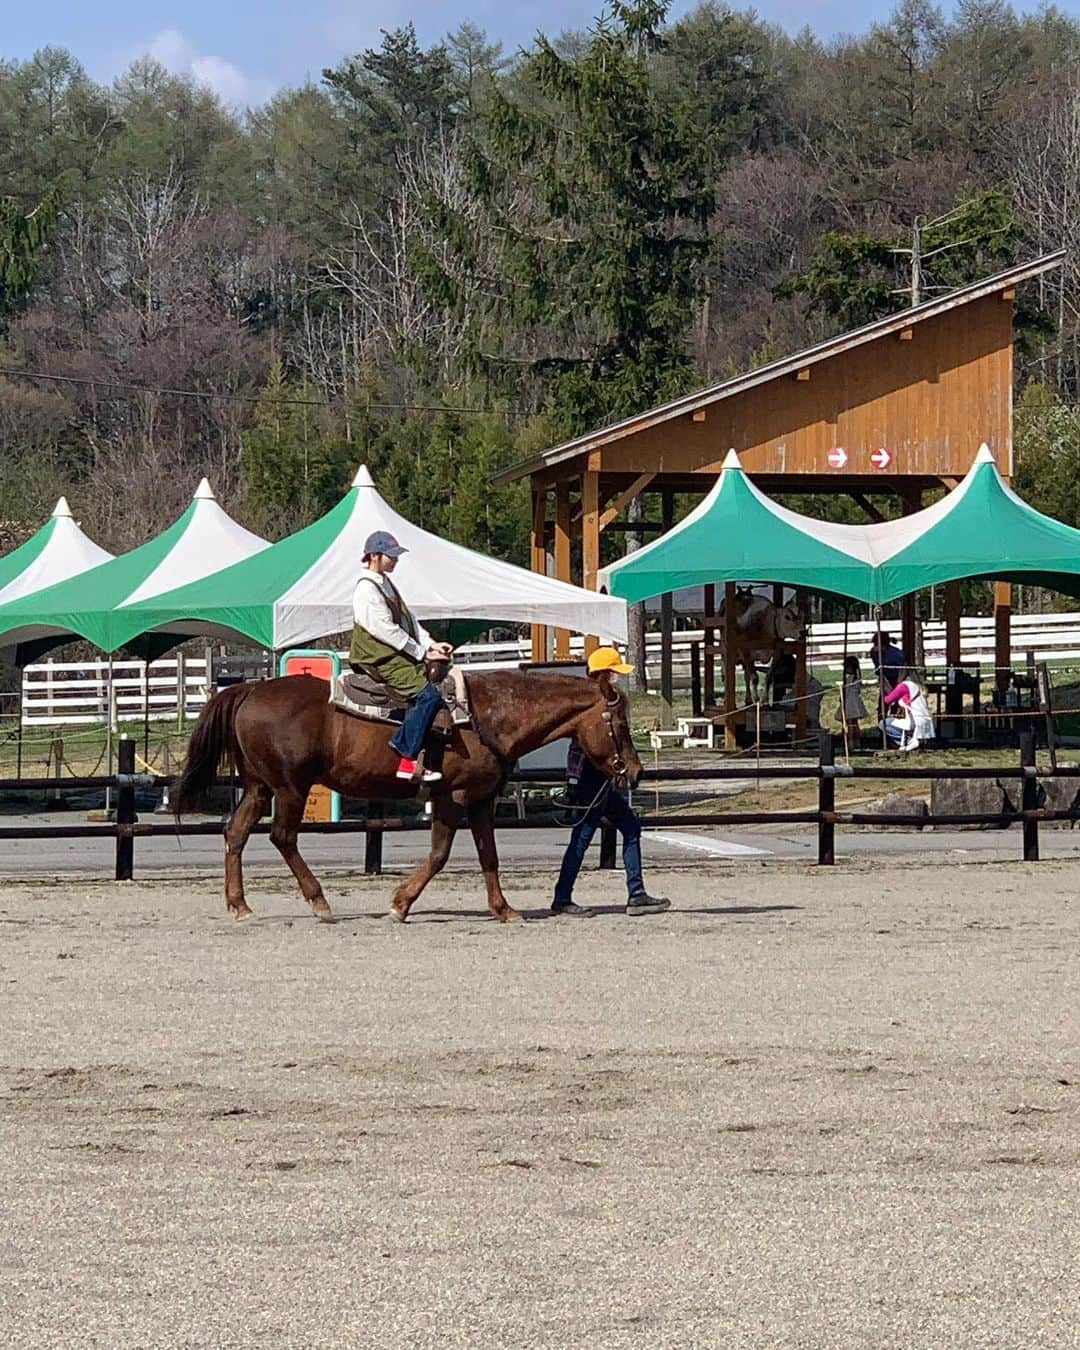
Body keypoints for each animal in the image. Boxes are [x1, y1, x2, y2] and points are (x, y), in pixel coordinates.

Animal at [172, 666, 637, 923]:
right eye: (620, 723)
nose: (633, 771)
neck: (486, 716)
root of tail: (250, 688)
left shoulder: (481, 799)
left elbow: (488, 854)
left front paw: (503, 909)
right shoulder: (451, 797)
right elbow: (440, 854)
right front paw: (400, 904)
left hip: (258, 788)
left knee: (235, 834)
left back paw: (240, 905)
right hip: (290, 788)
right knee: (283, 837)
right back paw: (320, 902)